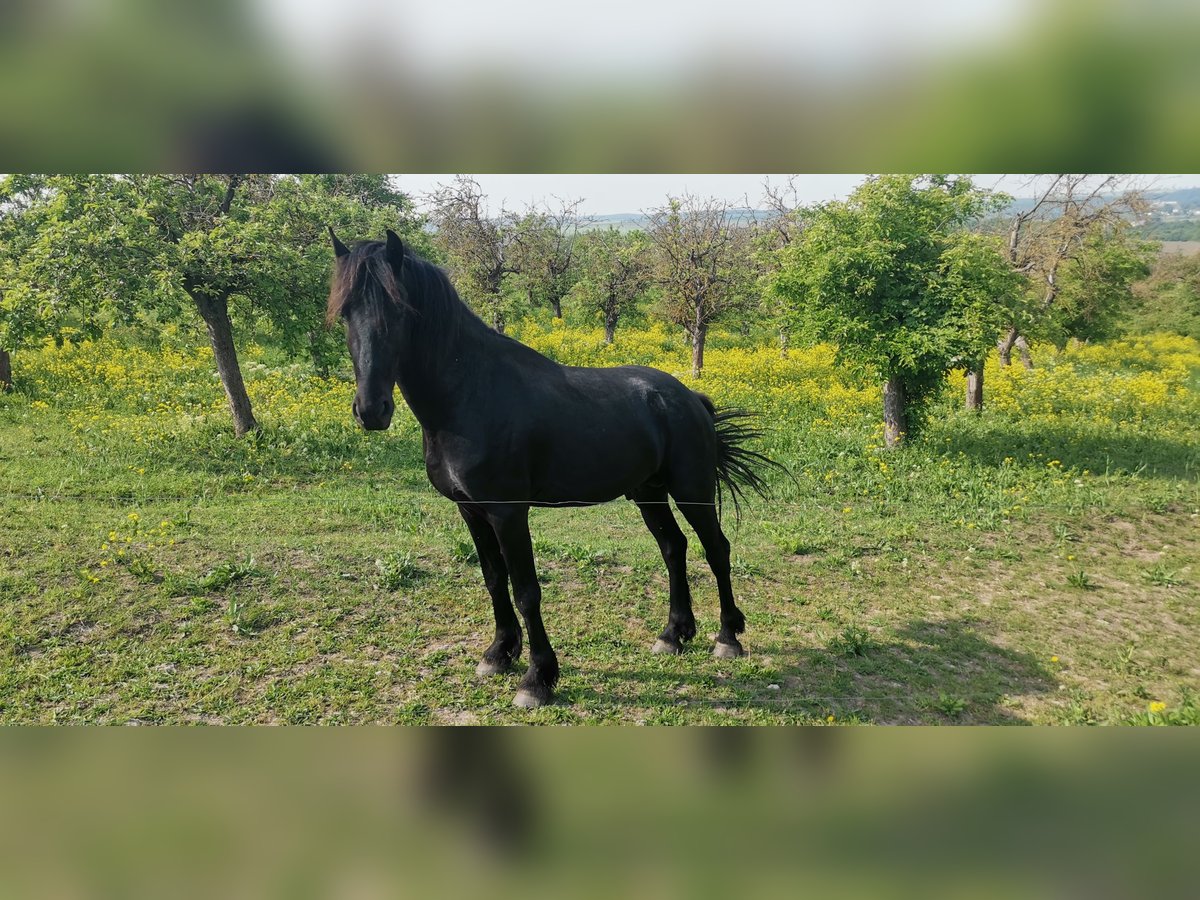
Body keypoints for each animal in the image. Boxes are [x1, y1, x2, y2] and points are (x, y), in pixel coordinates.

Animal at [328, 229, 777, 710]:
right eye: (346, 312)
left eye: (399, 309)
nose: (371, 410)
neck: (470, 395)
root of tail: (689, 397)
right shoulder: (471, 511)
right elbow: (494, 579)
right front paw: (498, 654)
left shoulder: (508, 512)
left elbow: (526, 590)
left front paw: (536, 679)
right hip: (648, 491)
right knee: (674, 548)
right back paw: (673, 635)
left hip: (692, 489)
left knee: (717, 550)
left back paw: (727, 638)